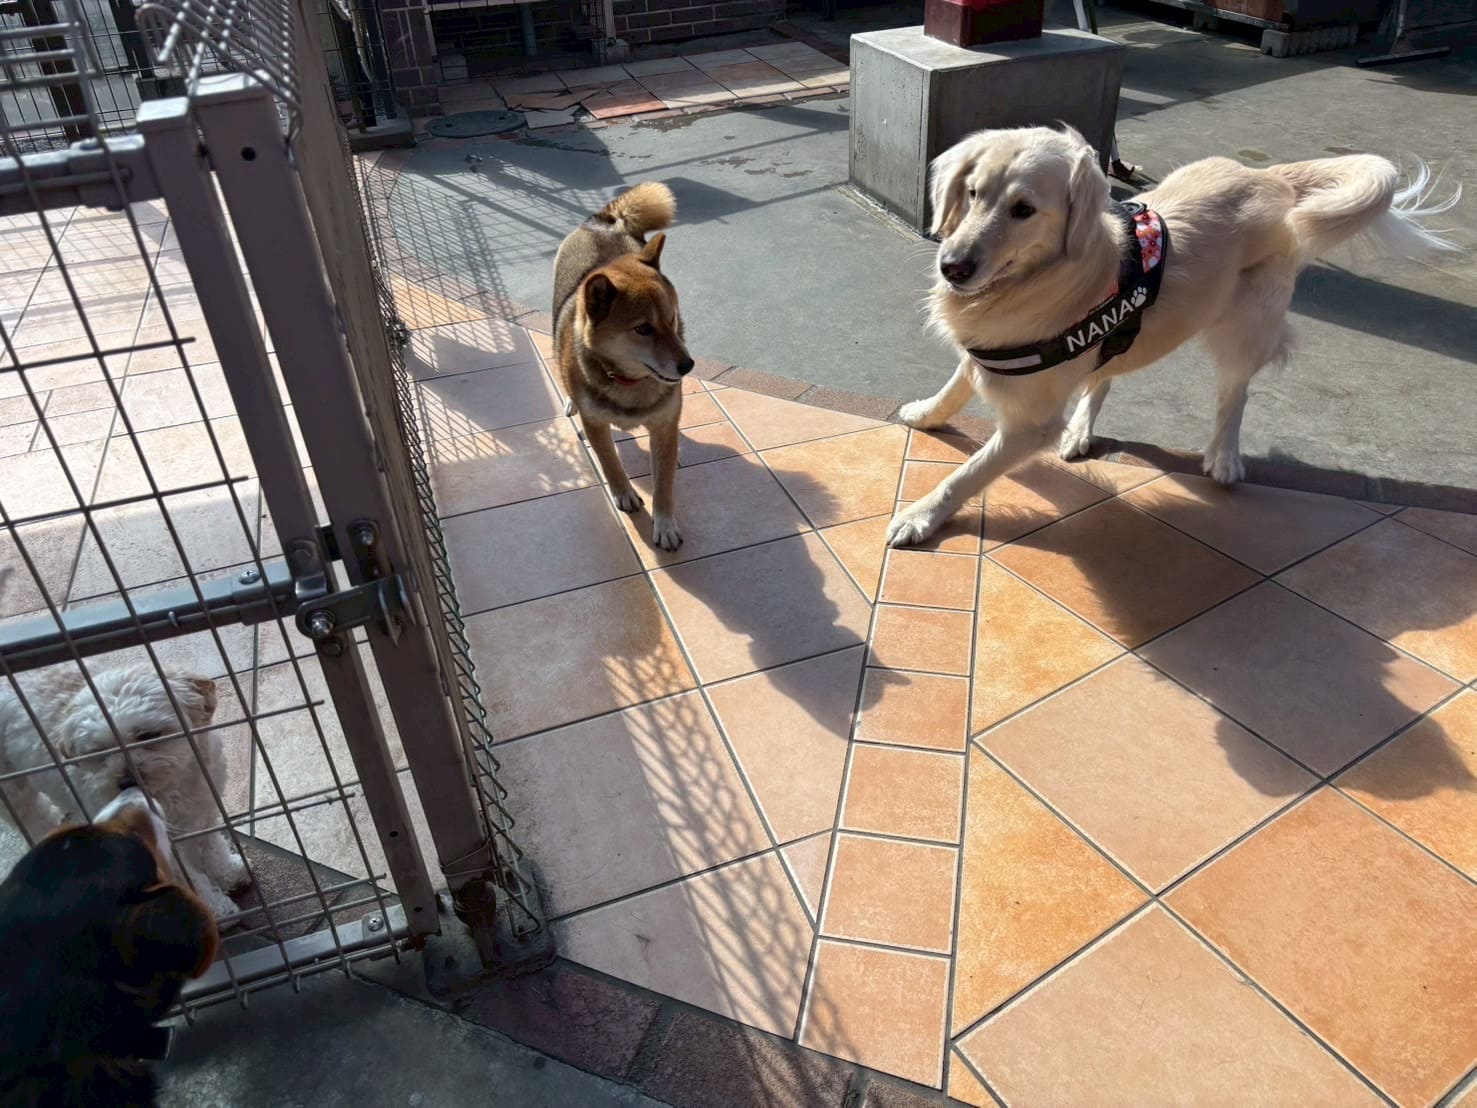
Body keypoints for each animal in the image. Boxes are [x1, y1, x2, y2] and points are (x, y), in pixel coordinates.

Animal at [0, 664, 249, 919]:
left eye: (148, 735)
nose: (127, 782)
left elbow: (210, 848)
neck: (170, 787)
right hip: (11, 790)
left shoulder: (203, 811)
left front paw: (228, 871)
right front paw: (215, 909)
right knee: (31, 816)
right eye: (100, 752)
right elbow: (189, 880)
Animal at [553, 181, 695, 552]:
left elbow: (664, 483)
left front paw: (665, 524)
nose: (688, 366)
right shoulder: (595, 424)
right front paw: (624, 493)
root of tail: (606, 221)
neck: (629, 383)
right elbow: (609, 463)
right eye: (643, 329)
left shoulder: (664, 420)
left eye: (672, 319)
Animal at [887, 125, 1461, 548]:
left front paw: (921, 516)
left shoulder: (1030, 425)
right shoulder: (991, 350)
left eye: (1024, 209)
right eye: (973, 193)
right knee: (1105, 373)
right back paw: (1080, 430)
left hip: (1244, 326)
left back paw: (1224, 457)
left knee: (1236, 391)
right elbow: (956, 385)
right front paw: (926, 414)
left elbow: (969, 473)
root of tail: (1265, 176)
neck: (1030, 284)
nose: (952, 266)